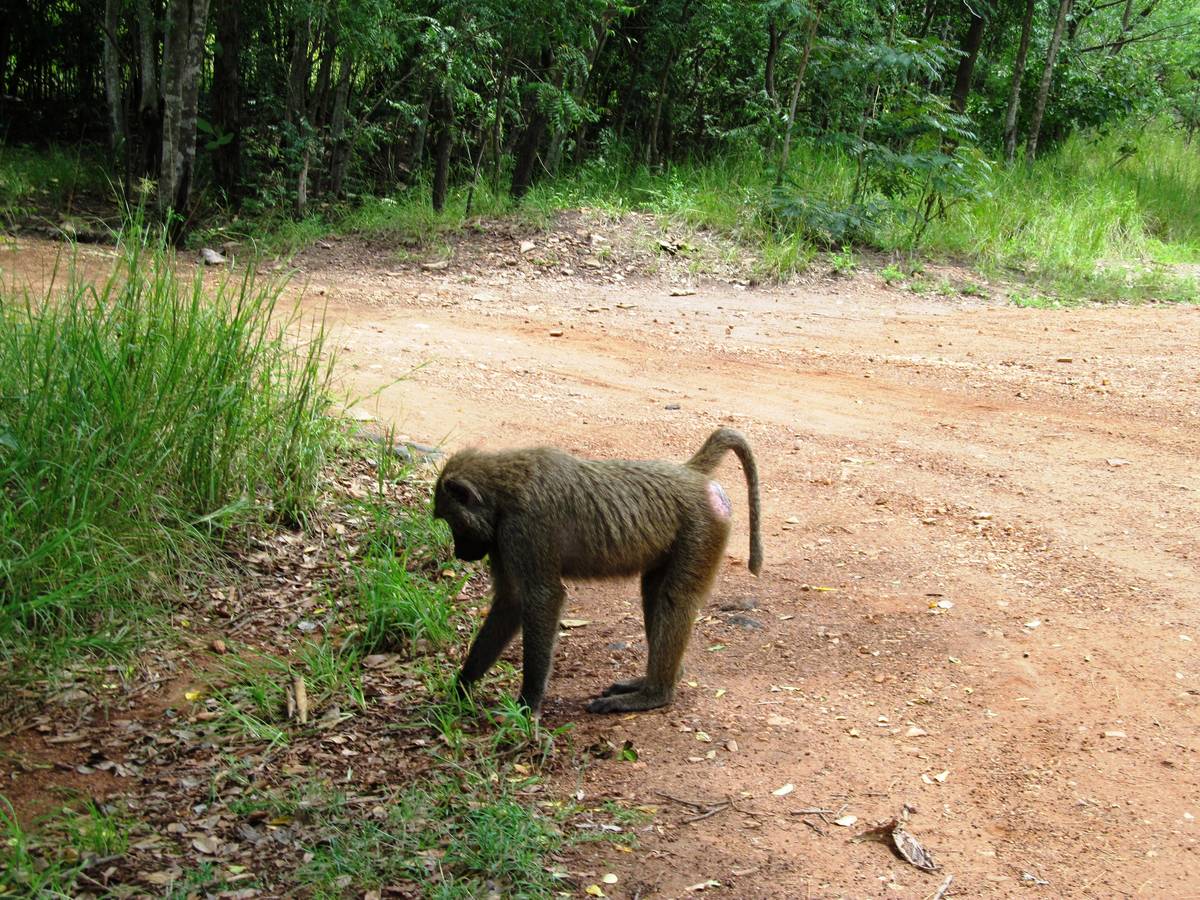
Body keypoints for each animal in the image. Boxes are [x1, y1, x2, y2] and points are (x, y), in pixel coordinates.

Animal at [432, 428, 762, 715]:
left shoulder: (523, 529)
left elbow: (543, 599)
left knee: (674, 600)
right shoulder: (502, 541)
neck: (504, 484)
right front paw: (460, 690)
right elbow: (511, 601)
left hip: (702, 528)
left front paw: (527, 707)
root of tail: (691, 473)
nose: (460, 553)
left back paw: (653, 694)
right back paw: (651, 681)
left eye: (451, 520)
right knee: (654, 595)